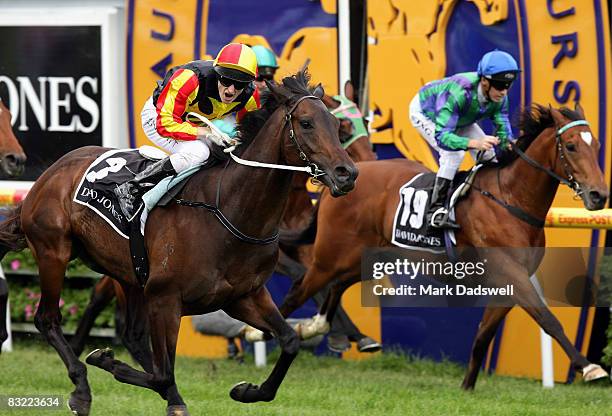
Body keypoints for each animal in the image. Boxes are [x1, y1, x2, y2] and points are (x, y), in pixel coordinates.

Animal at [0, 70, 358, 414]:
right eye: (307, 123)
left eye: (336, 124)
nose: (347, 173)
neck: (230, 210)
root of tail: (50, 174)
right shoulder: (165, 298)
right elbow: (162, 372)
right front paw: (104, 359)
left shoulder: (243, 296)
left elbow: (290, 341)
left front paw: (247, 391)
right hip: (53, 252)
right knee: (47, 319)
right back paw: (83, 389)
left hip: (128, 273)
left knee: (132, 335)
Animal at [276, 103, 608, 386]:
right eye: (571, 146)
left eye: (596, 145)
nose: (598, 195)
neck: (510, 199)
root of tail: (341, 181)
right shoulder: (512, 274)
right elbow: (548, 319)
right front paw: (590, 367)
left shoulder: (509, 281)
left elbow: (483, 335)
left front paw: (467, 388)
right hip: (330, 256)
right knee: (299, 289)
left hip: (370, 257)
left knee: (337, 285)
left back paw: (320, 327)